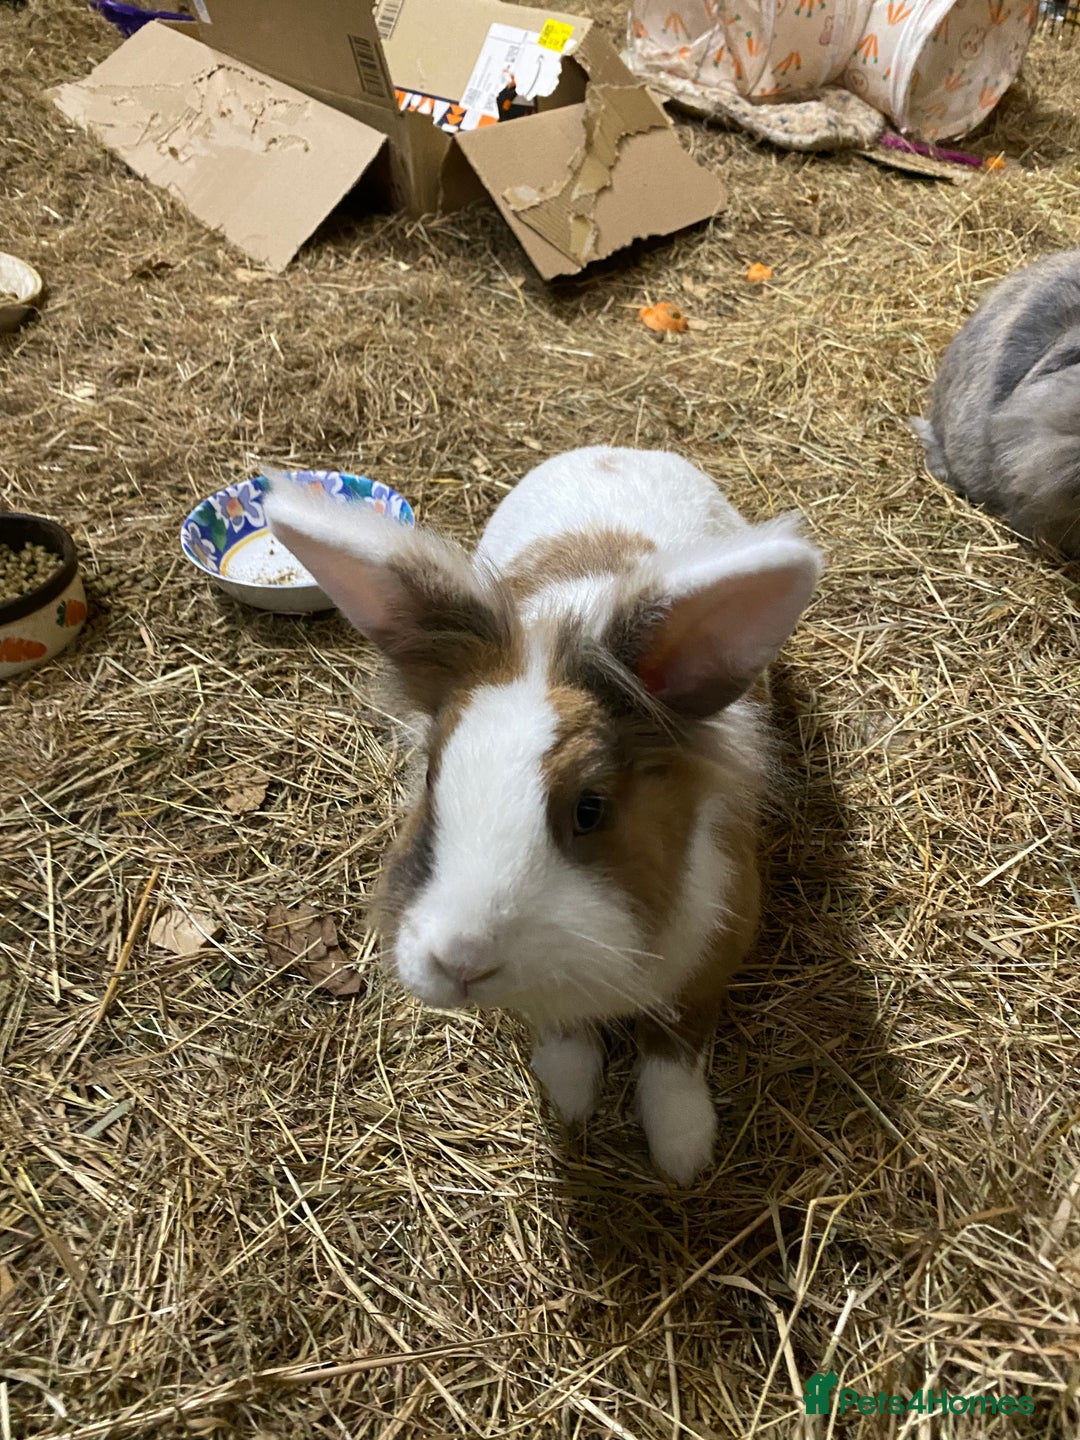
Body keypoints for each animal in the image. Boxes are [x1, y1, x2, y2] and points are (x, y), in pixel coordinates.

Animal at [263, 447, 823, 1185]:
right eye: (433, 778)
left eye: (590, 808)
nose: (460, 959)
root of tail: (617, 450)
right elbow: (564, 1035)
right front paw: (571, 1096)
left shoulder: (708, 964)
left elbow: (673, 1054)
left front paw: (683, 1155)